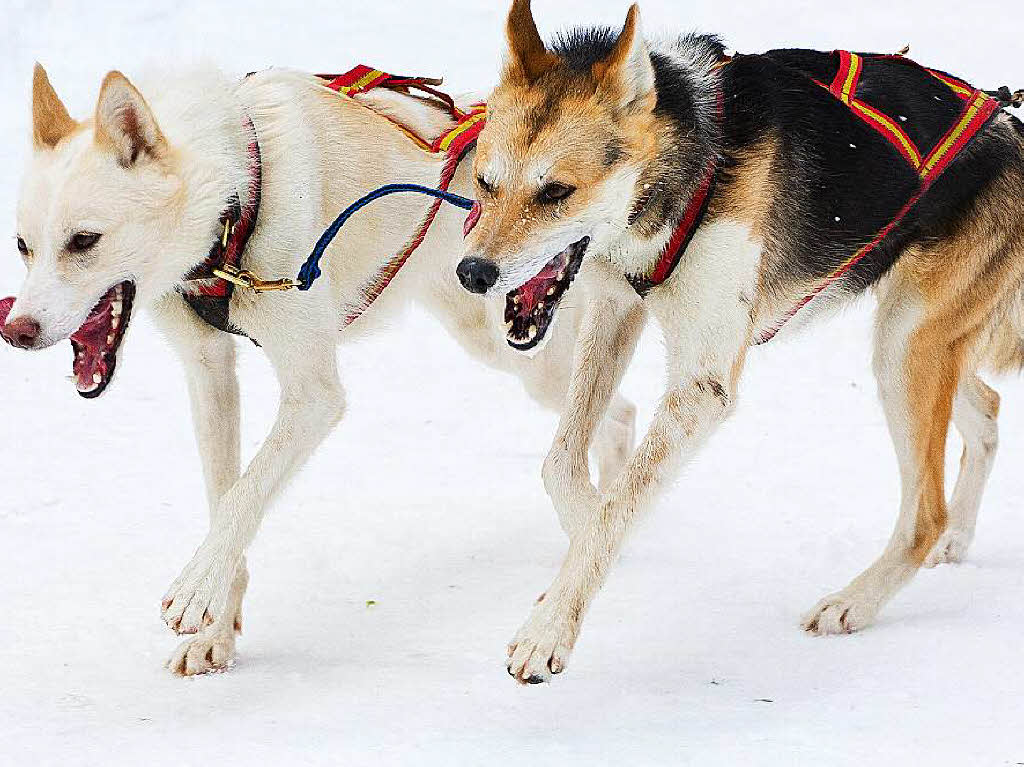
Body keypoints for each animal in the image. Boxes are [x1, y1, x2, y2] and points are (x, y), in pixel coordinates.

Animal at [4, 66, 634, 675]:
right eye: (22, 246)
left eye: (84, 240)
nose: (17, 330)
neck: (236, 203)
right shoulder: (209, 373)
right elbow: (224, 497)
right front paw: (215, 627)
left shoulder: (313, 397)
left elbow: (242, 496)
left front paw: (195, 590)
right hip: (490, 339)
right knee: (617, 414)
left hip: (527, 355)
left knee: (613, 412)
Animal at [458, 0, 1024, 684]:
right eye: (485, 182)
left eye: (556, 192)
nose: (472, 272)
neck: (698, 161)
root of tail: (1016, 136)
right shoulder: (616, 311)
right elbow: (565, 471)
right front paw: (577, 547)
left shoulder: (701, 386)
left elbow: (614, 511)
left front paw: (550, 627)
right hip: (921, 343)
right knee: (987, 410)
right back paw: (956, 539)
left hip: (904, 346)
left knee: (923, 512)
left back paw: (855, 601)